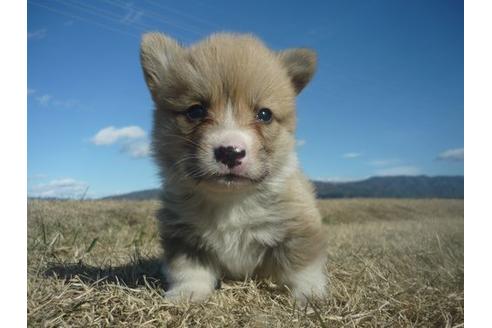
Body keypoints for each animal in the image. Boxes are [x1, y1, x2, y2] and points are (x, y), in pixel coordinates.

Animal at [140, 32, 328, 304]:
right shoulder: (183, 235)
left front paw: (310, 296)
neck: (231, 201)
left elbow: (302, 266)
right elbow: (188, 270)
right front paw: (186, 294)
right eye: (195, 111)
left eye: (264, 114)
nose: (230, 152)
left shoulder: (298, 226)